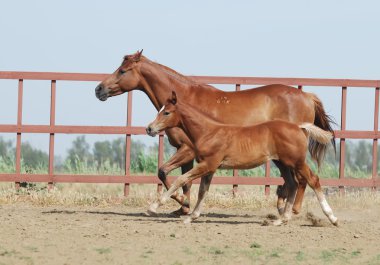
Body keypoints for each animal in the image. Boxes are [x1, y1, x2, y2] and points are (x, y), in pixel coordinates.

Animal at [145, 92, 338, 225]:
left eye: (166, 112)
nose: (149, 128)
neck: (209, 132)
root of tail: (298, 126)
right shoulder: (210, 168)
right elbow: (203, 191)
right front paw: (191, 217)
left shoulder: (207, 164)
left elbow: (181, 179)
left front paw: (154, 207)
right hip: (282, 163)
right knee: (293, 184)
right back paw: (281, 219)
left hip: (296, 162)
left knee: (313, 179)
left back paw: (332, 217)